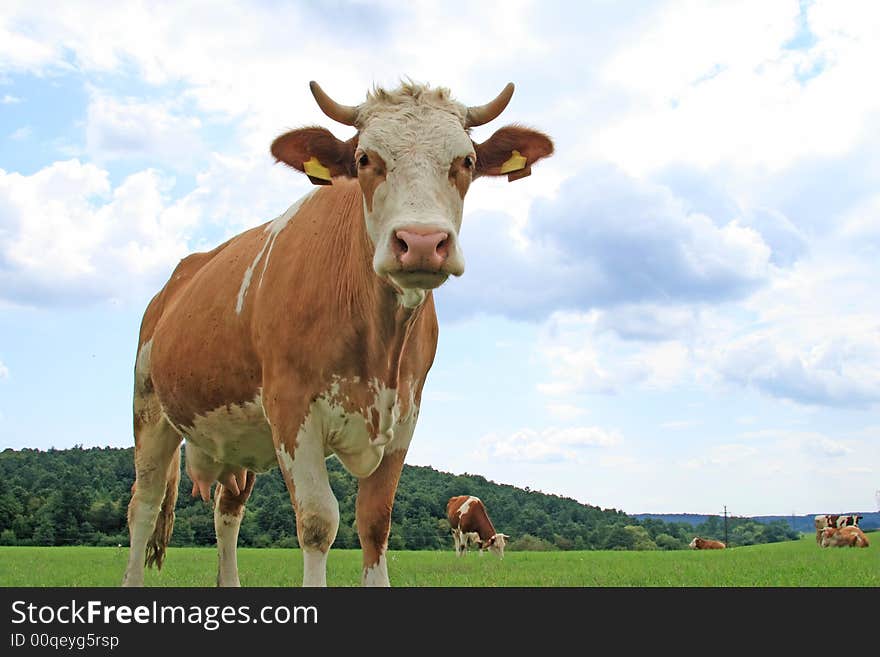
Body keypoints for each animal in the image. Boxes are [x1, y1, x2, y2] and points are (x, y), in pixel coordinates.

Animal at [120, 79, 552, 588]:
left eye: (465, 161)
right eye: (364, 159)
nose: (422, 242)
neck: (379, 347)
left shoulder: (405, 419)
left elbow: (375, 522)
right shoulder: (291, 410)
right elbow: (318, 522)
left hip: (237, 440)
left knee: (227, 512)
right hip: (150, 410)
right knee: (143, 507)